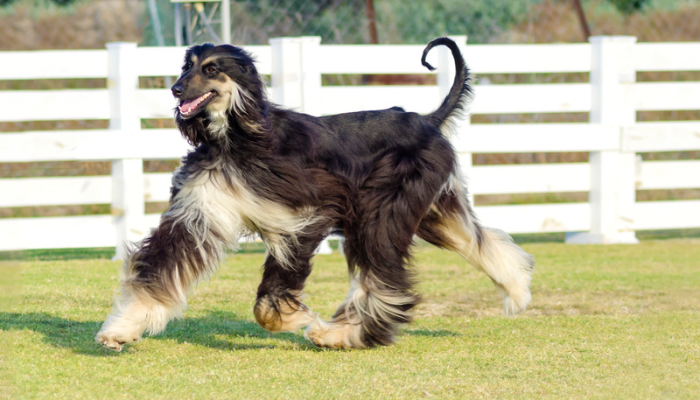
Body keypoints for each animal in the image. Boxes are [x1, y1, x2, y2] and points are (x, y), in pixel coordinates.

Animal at [95, 37, 532, 350]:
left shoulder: (306, 214)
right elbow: (160, 267)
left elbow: (268, 298)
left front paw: (291, 318)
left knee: (382, 280)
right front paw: (122, 330)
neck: (239, 140)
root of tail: (426, 120)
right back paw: (517, 290)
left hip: (383, 210)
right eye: (186, 66)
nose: (176, 89)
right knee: (478, 240)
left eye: (212, 69)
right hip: (430, 210)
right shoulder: (200, 211)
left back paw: (341, 335)